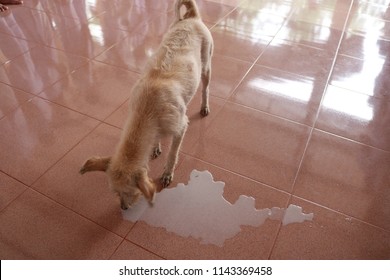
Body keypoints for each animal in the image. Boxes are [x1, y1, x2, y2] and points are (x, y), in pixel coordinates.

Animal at [79, 0, 213, 210]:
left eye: (132, 193)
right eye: (115, 192)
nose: (123, 208)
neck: (146, 109)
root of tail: (192, 18)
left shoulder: (181, 128)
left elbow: (173, 154)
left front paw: (167, 173)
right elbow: (156, 137)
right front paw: (156, 146)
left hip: (206, 65)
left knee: (205, 88)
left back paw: (204, 106)